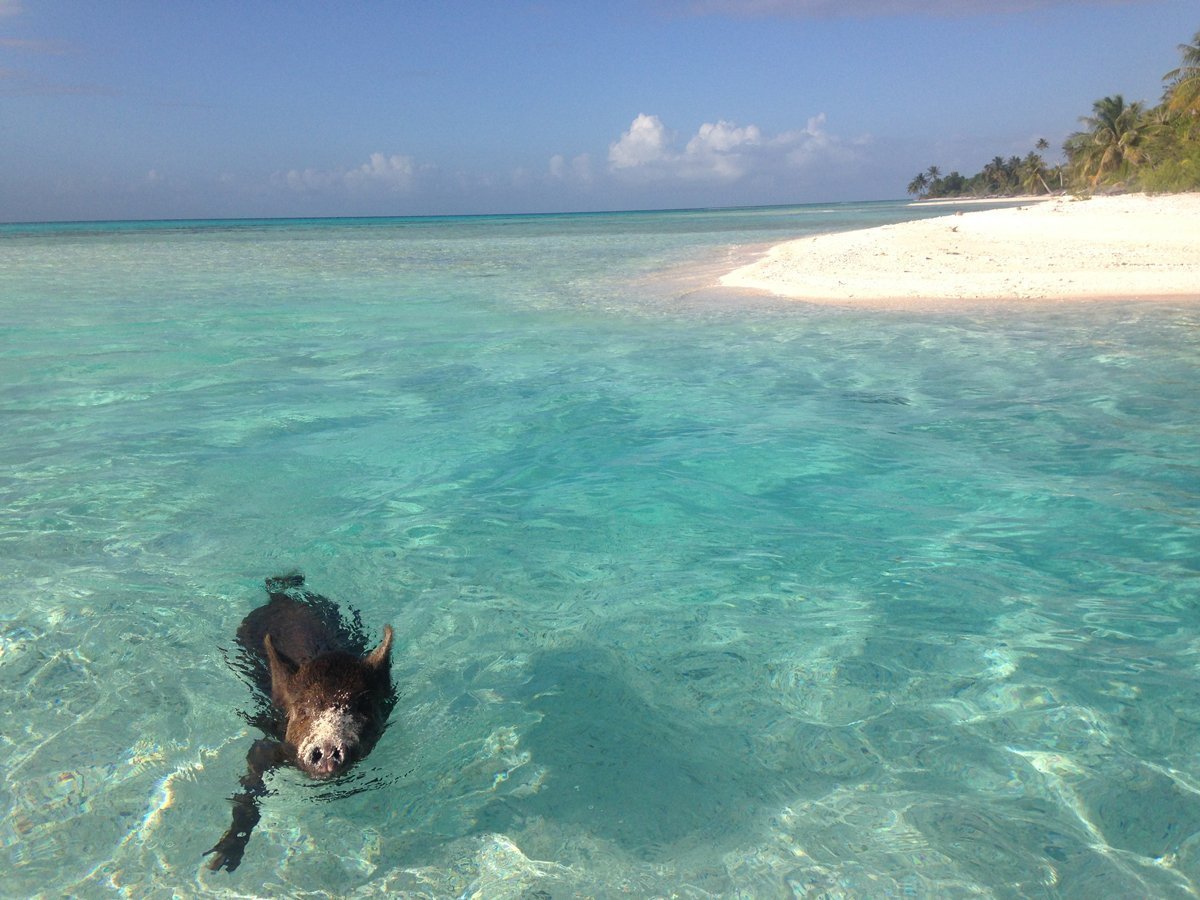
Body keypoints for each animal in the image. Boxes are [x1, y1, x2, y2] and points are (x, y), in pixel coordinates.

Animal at [206, 578, 393, 873]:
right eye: (302, 709)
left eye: (361, 707)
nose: (327, 748)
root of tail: (280, 598)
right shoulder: (275, 746)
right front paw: (220, 864)